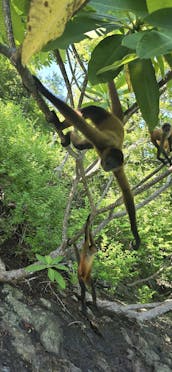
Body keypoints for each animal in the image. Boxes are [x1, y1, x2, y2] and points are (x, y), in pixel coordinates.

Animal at [33, 75, 140, 250]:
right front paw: (42, 89)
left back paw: (69, 136)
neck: (109, 149)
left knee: (82, 143)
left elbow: (126, 194)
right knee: (87, 111)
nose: (106, 167)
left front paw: (136, 235)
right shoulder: (103, 140)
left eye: (112, 165)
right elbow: (80, 122)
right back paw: (61, 124)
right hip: (103, 115)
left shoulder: (119, 167)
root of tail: (118, 120)